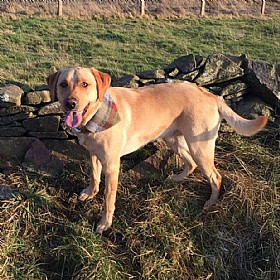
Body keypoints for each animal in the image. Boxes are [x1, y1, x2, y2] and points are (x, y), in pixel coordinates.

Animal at [47, 66, 266, 233]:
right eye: (63, 84)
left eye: (85, 84)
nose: (70, 103)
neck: (94, 117)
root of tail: (210, 94)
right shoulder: (93, 154)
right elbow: (94, 176)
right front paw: (90, 193)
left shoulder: (111, 165)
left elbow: (109, 198)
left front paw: (105, 223)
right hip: (174, 139)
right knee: (191, 164)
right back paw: (176, 179)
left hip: (199, 147)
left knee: (215, 176)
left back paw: (211, 202)